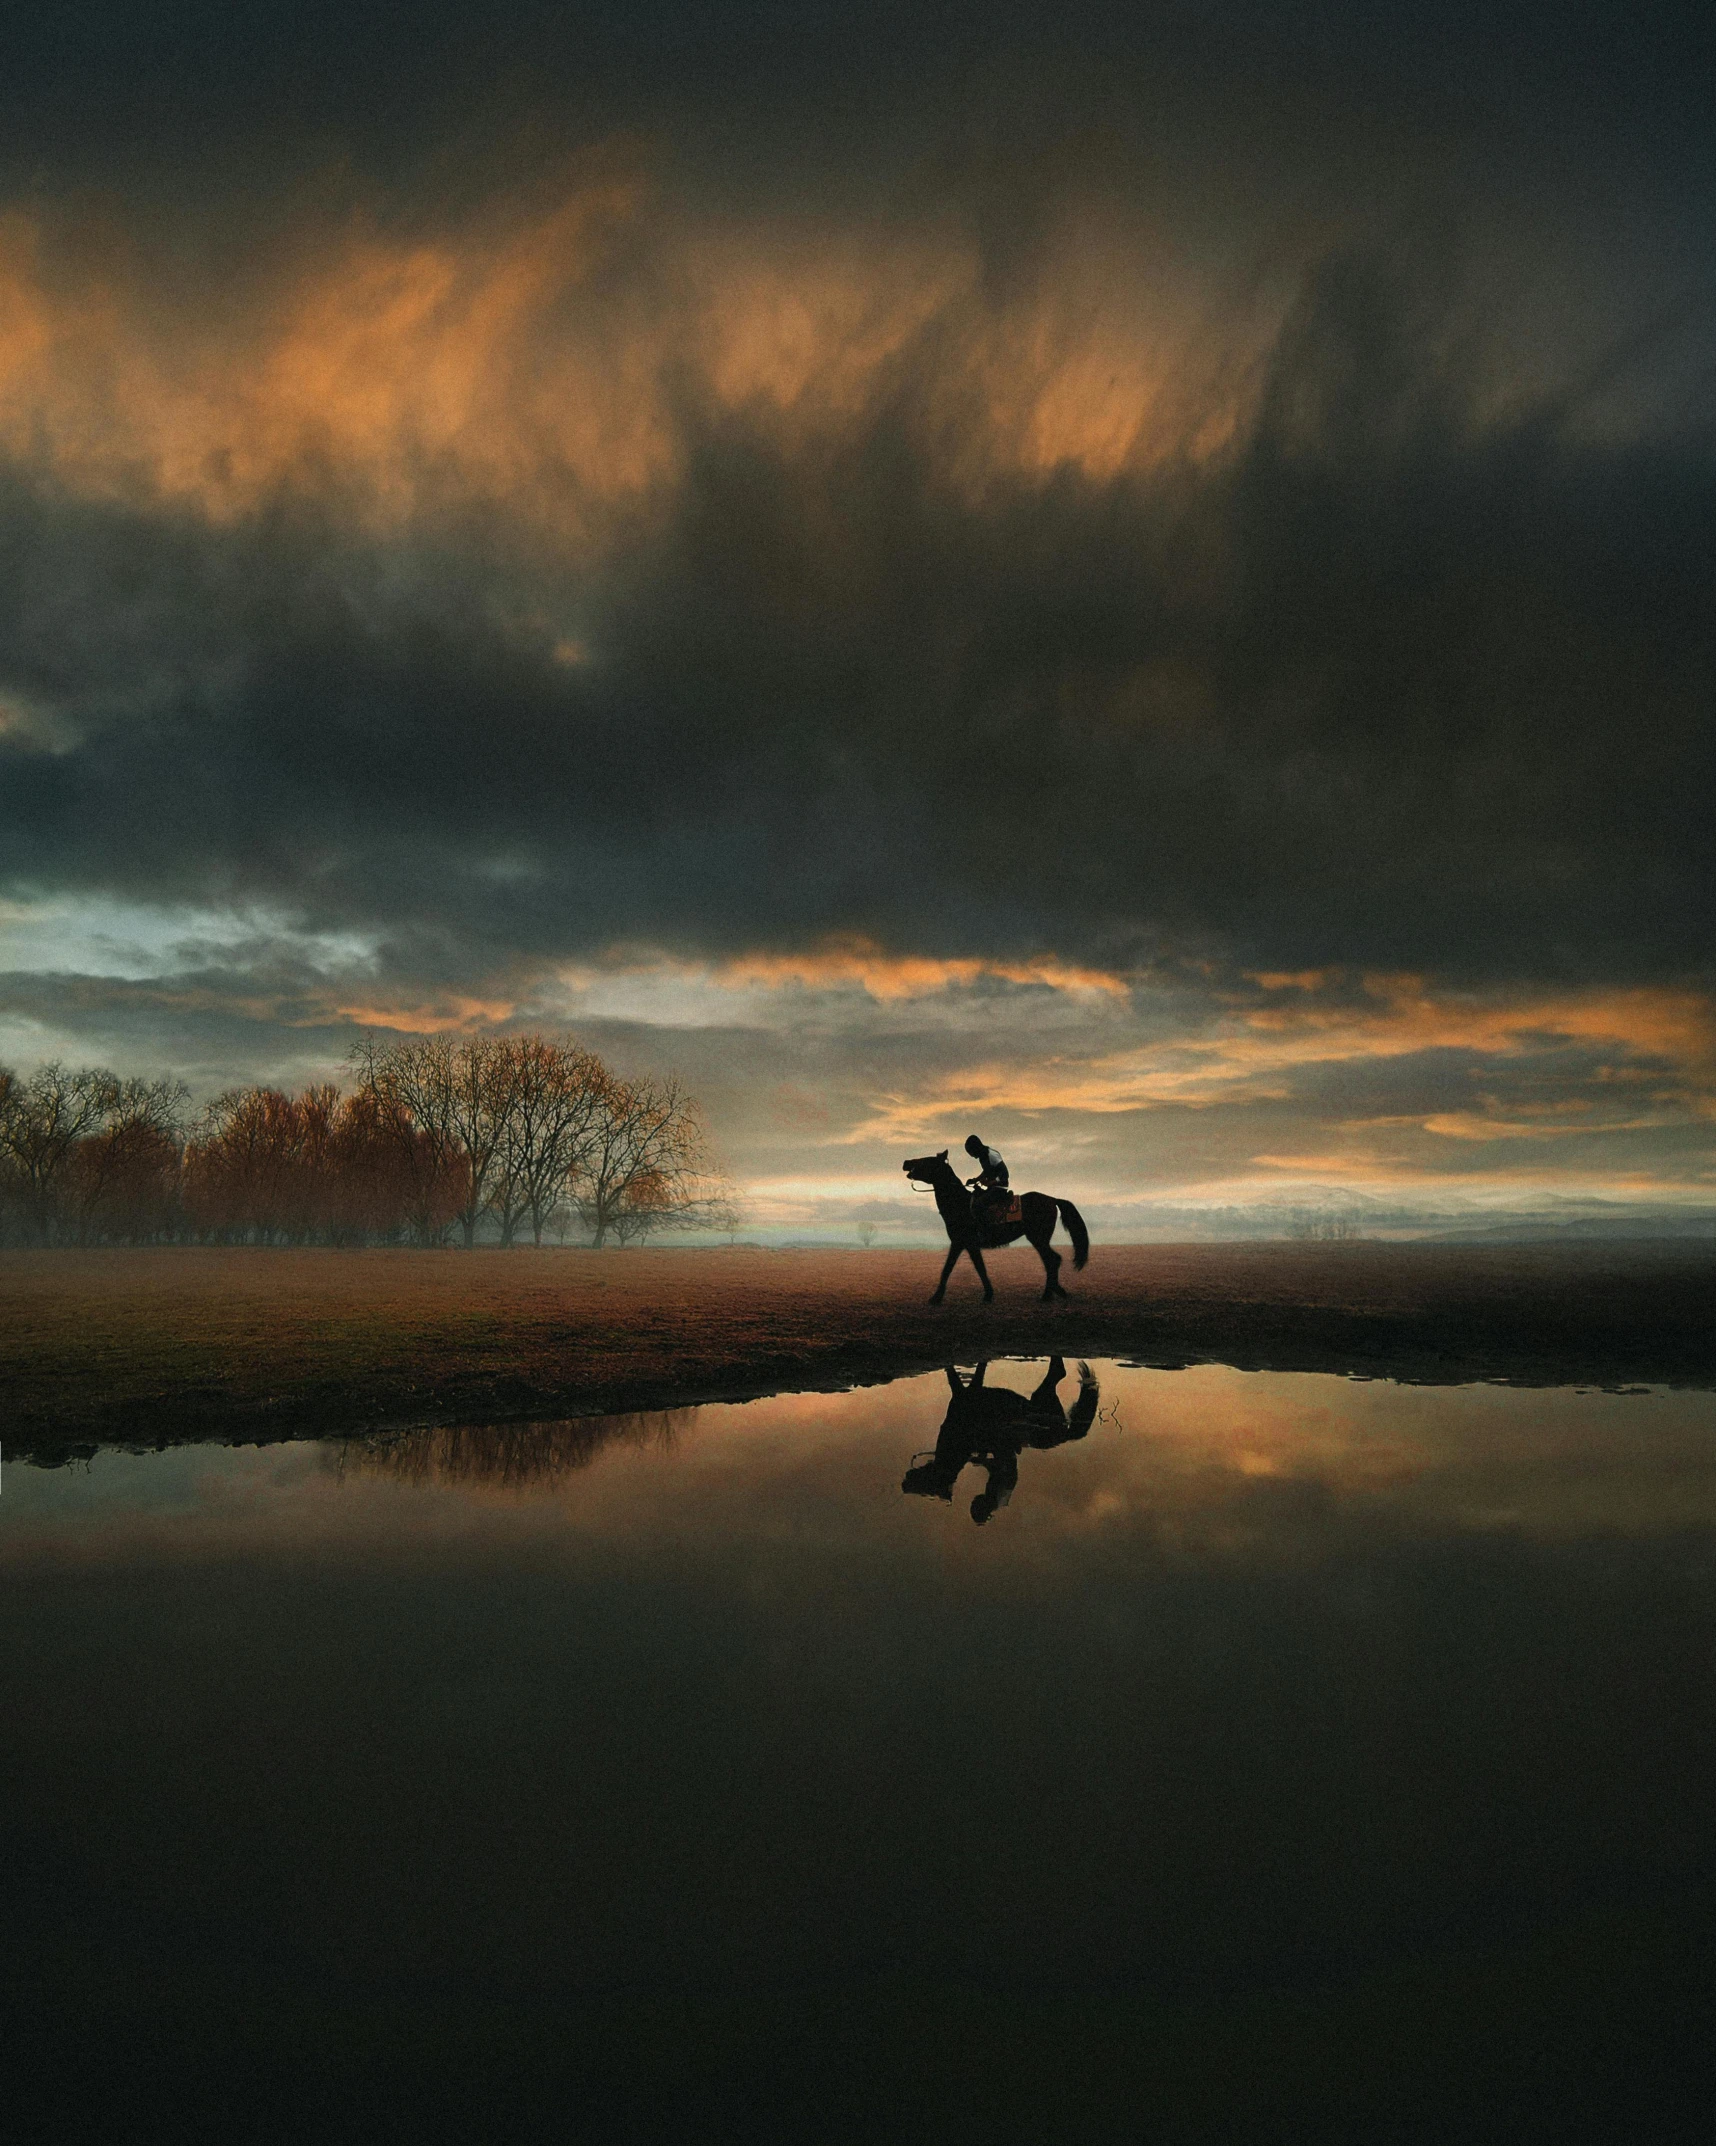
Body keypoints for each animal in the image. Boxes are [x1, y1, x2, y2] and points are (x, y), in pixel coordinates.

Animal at [905, 1150, 1093, 1296]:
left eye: (927, 1160)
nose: (906, 1162)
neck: (960, 1203)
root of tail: (1053, 1199)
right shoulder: (967, 1244)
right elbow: (978, 1267)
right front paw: (988, 1294)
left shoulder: (961, 1242)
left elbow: (949, 1268)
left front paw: (936, 1298)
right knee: (1052, 1261)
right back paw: (1055, 1291)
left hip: (1038, 1238)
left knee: (1052, 1260)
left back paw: (1048, 1295)